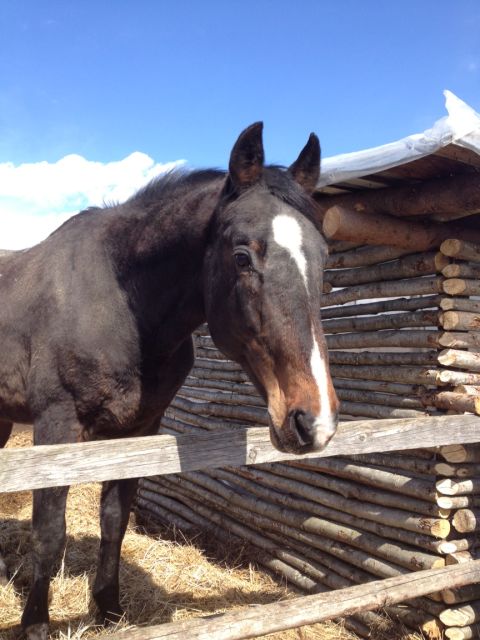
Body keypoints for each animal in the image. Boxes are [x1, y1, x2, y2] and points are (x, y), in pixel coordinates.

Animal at [0, 122, 339, 639]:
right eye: (243, 256)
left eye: (324, 257)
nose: (314, 421)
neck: (118, 303)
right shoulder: (55, 427)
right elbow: (49, 534)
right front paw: (36, 624)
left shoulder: (140, 429)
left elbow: (115, 520)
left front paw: (109, 609)